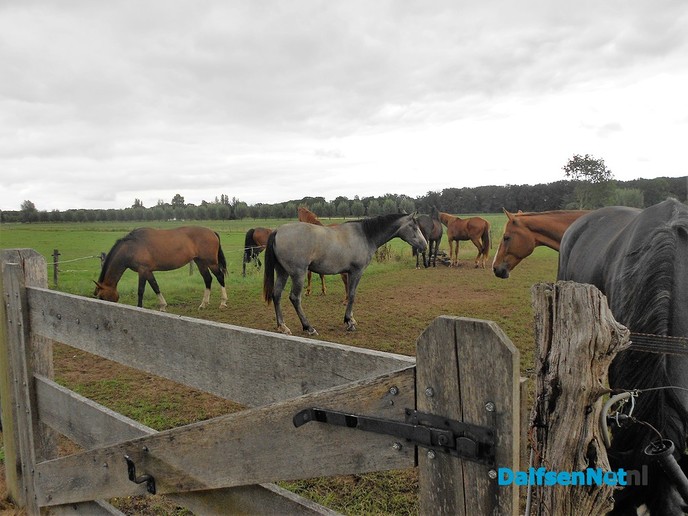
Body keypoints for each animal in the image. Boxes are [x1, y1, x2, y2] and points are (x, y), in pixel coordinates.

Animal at [94, 226, 227, 311]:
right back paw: (203, 304)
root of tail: (212, 232)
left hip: (211, 262)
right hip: (200, 262)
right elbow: (155, 286)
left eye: (102, 297)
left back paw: (223, 303)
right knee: (208, 279)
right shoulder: (148, 271)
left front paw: (139, 307)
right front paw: (163, 306)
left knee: (220, 277)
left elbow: (141, 290)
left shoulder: (142, 271)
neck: (131, 247)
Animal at [263, 212, 427, 335]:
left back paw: (282, 326)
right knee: (295, 298)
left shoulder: (348, 273)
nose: (424, 245)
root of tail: (277, 231)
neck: (365, 235)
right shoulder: (356, 271)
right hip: (298, 273)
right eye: (414, 227)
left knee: (276, 295)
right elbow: (352, 294)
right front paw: (349, 321)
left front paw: (351, 319)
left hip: (283, 272)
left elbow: (349, 292)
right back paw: (308, 327)